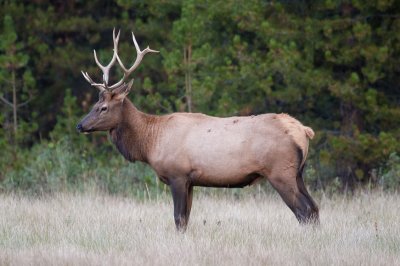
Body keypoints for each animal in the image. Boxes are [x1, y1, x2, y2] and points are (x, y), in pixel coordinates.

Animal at [76, 29, 318, 232]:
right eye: (94, 104)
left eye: (103, 107)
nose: (80, 125)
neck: (150, 141)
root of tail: (304, 131)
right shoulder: (190, 181)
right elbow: (186, 219)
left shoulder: (178, 174)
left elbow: (179, 219)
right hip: (298, 172)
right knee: (314, 208)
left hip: (280, 172)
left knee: (304, 210)